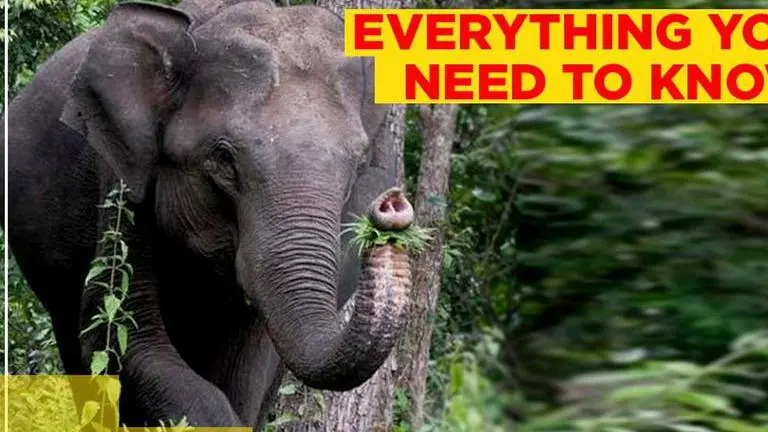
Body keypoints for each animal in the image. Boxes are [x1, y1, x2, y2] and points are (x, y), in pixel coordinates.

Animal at [4, 0, 414, 428]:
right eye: (224, 158)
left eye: (359, 163)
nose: (391, 207)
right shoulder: (120, 181)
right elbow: (121, 332)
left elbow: (251, 371)